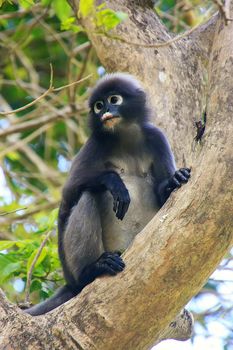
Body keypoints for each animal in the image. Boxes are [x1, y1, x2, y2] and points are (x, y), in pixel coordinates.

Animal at [25, 72, 190, 316]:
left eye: (114, 100)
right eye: (98, 106)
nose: (105, 112)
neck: (125, 136)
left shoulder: (156, 137)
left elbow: (164, 196)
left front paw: (174, 180)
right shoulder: (94, 144)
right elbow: (68, 196)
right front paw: (114, 182)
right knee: (88, 195)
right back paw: (93, 269)